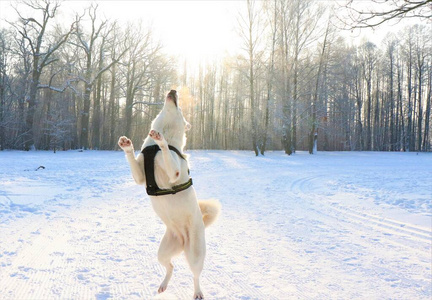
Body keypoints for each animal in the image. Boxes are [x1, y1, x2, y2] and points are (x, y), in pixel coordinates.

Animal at [117, 89, 219, 300]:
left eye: (180, 107)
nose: (173, 90)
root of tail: (183, 239)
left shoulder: (174, 172)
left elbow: (165, 151)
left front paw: (161, 139)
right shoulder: (140, 176)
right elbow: (132, 160)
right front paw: (127, 145)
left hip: (195, 254)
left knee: (196, 275)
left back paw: (198, 292)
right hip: (163, 252)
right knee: (171, 266)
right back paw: (163, 285)